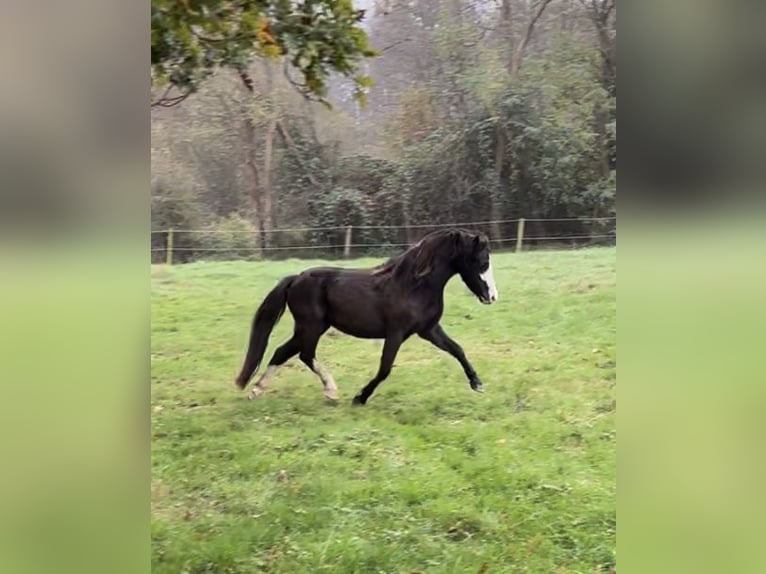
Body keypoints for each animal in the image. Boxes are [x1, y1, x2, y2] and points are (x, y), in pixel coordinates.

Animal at [234, 227, 498, 408]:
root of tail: (296, 278)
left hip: (309, 328)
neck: (414, 285)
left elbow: (457, 349)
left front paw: (477, 384)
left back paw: (256, 390)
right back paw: (331, 391)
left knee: (283, 352)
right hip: (311, 326)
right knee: (304, 355)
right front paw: (360, 398)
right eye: (482, 261)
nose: (492, 296)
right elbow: (385, 369)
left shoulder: (428, 329)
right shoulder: (396, 333)